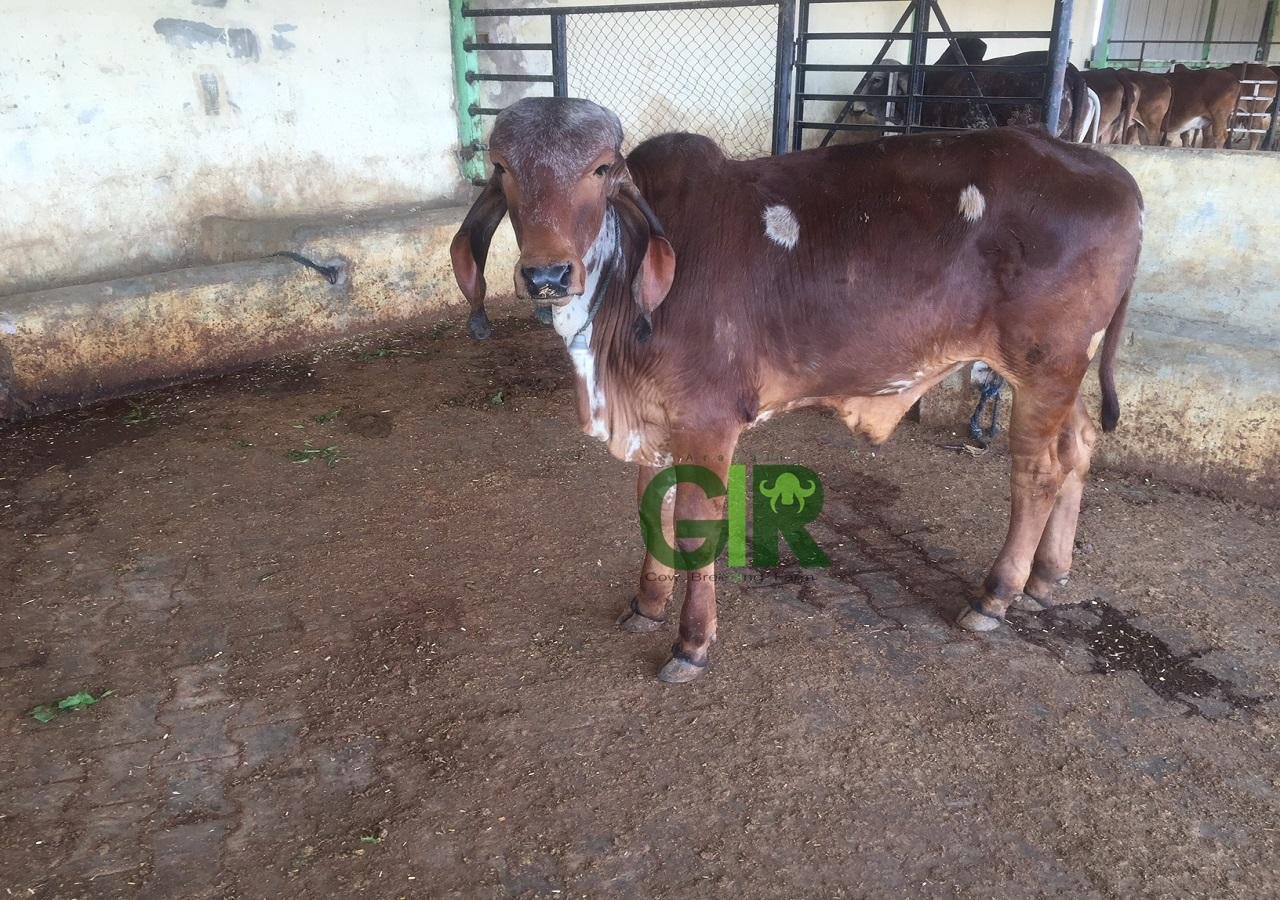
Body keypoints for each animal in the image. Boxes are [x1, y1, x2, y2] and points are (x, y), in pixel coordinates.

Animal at [451, 98, 1143, 683]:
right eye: (504, 169)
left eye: (599, 169)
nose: (545, 274)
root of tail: (1115, 176)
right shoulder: (653, 418)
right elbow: (653, 511)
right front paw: (646, 603)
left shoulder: (706, 419)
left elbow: (695, 526)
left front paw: (691, 643)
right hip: (1057, 372)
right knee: (1077, 446)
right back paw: (1047, 576)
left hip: (1045, 364)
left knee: (1037, 472)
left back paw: (996, 595)